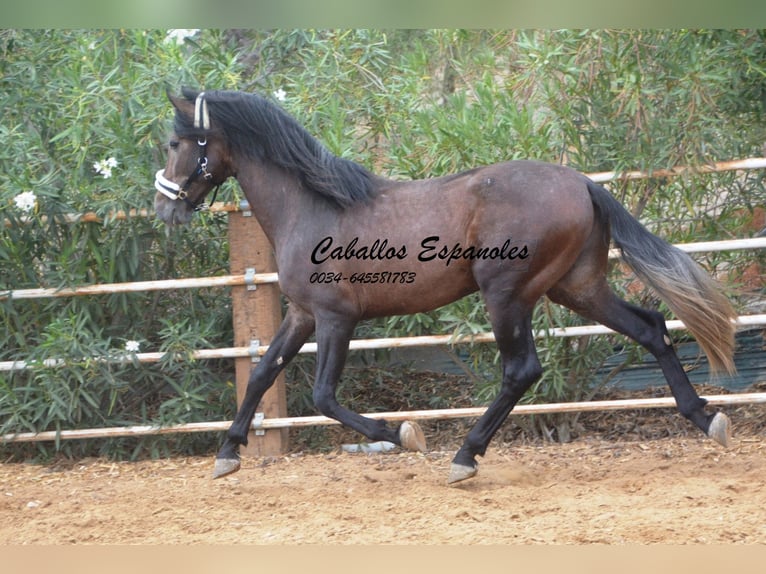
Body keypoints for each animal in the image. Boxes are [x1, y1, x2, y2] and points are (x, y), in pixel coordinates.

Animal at [152, 89, 736, 486]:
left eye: (177, 143)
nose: (163, 207)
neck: (312, 207)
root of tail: (583, 183)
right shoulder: (301, 314)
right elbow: (259, 376)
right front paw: (227, 454)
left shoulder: (336, 317)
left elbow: (322, 396)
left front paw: (403, 434)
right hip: (577, 287)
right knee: (651, 327)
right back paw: (706, 418)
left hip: (507, 295)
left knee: (522, 370)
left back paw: (464, 457)